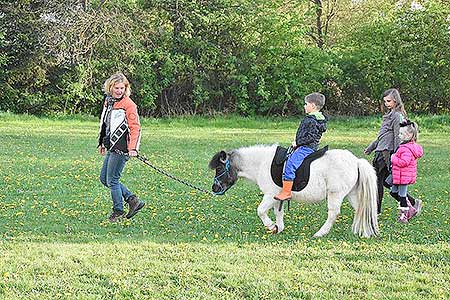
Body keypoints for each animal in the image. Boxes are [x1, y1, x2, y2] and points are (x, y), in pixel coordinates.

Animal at [209, 144, 378, 238]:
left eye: (219, 169)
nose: (214, 188)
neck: (261, 163)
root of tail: (356, 161)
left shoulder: (270, 195)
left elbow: (261, 211)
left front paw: (271, 226)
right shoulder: (277, 197)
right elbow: (278, 212)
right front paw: (278, 228)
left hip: (335, 194)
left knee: (333, 213)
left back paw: (320, 233)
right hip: (351, 194)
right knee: (362, 210)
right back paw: (366, 232)